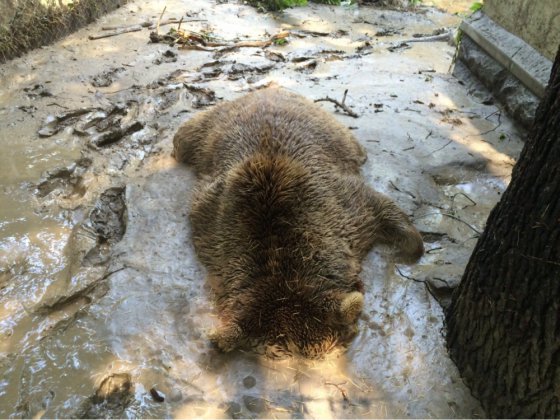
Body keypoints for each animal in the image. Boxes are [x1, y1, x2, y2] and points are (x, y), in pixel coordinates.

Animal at [173, 87, 422, 360]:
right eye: (278, 354)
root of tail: (263, 90)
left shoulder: (343, 205)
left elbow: (381, 208)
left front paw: (413, 244)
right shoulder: (211, 222)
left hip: (328, 127)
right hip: (206, 131)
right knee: (182, 138)